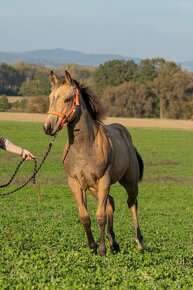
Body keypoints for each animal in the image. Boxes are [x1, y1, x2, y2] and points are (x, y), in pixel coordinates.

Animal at [43, 71, 146, 256]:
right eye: (50, 97)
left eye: (67, 99)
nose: (48, 127)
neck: (84, 147)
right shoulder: (75, 183)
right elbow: (85, 216)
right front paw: (92, 246)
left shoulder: (104, 180)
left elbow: (100, 216)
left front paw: (102, 250)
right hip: (93, 187)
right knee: (111, 203)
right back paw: (114, 243)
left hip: (129, 181)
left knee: (132, 203)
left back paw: (140, 242)